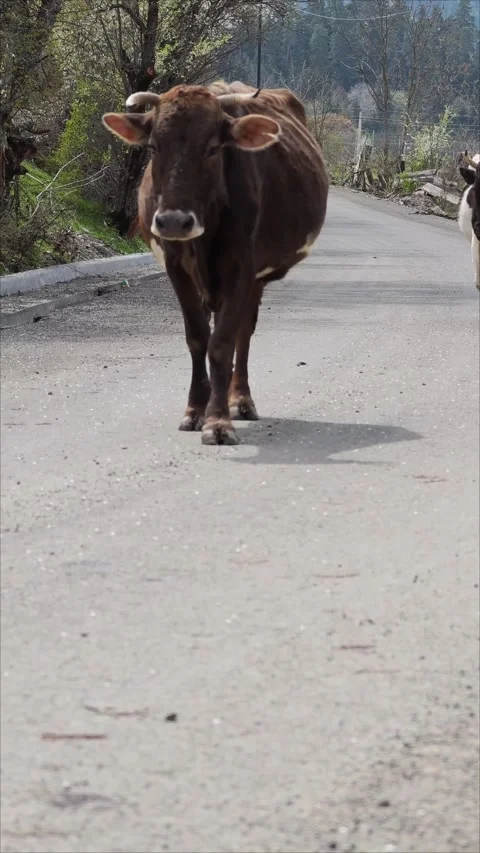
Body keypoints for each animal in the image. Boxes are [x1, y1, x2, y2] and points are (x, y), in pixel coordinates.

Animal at [102, 83, 329, 445]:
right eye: (153, 147)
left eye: (212, 148)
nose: (173, 221)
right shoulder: (176, 267)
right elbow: (197, 337)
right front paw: (196, 410)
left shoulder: (241, 267)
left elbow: (222, 342)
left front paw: (218, 420)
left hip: (255, 280)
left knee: (242, 333)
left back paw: (241, 400)